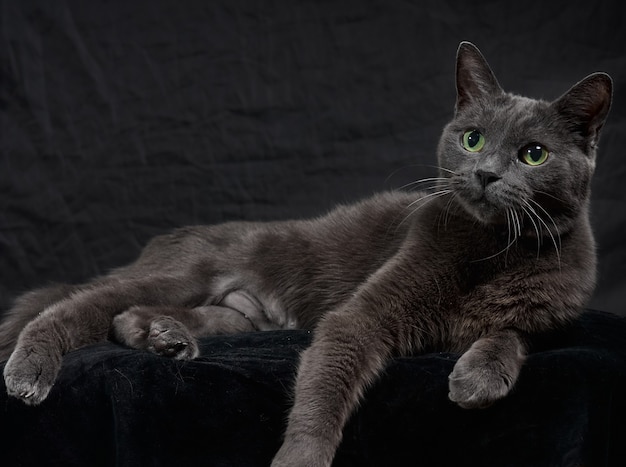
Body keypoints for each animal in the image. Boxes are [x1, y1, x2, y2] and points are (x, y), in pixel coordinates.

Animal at [0, 41, 608, 467]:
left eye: (533, 154)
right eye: (473, 139)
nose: (485, 174)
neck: (494, 250)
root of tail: (165, 241)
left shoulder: (548, 317)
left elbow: (513, 332)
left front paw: (479, 378)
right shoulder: (360, 315)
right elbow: (327, 380)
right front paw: (302, 458)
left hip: (242, 316)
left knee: (131, 315)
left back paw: (166, 339)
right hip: (182, 273)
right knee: (76, 304)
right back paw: (30, 370)